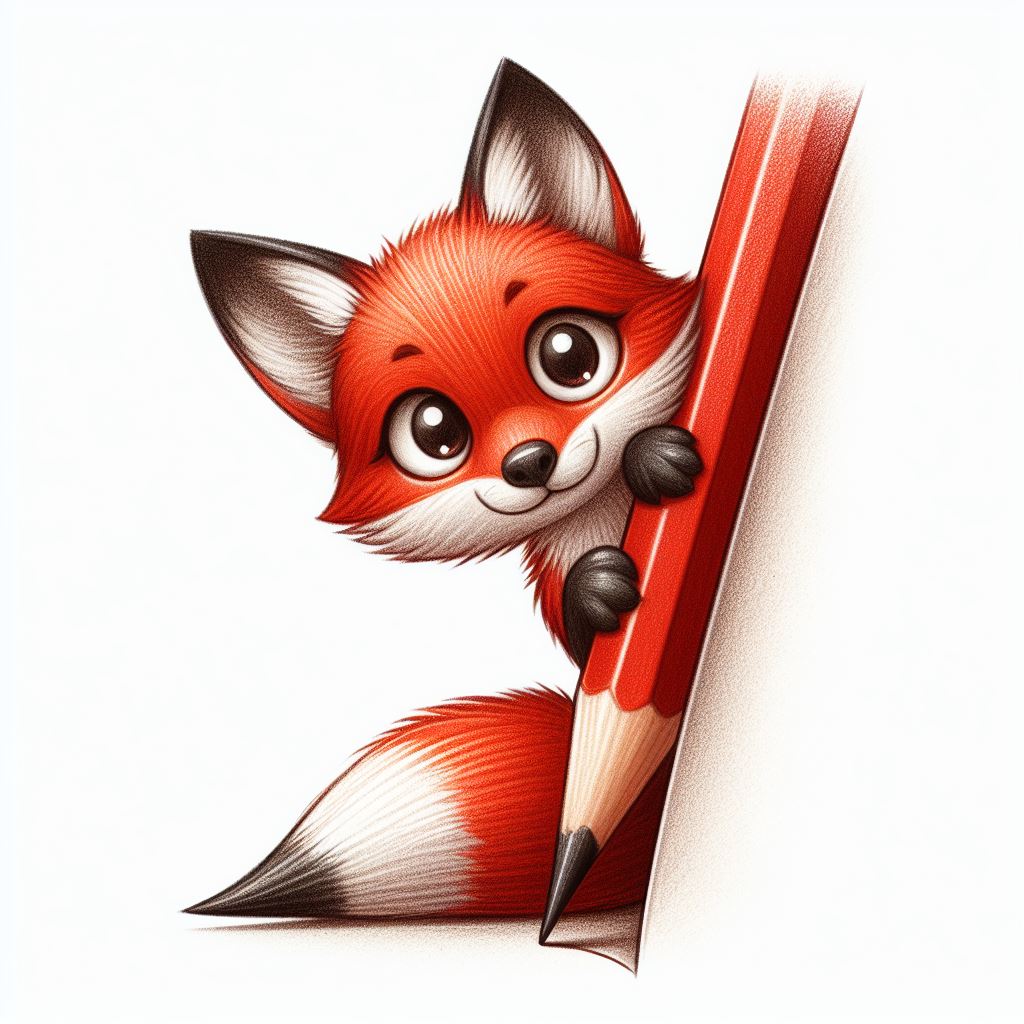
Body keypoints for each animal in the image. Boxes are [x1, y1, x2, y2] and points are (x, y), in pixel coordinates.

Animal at [187, 59, 701, 920]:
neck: (604, 515)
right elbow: (587, 640)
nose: (530, 462)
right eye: (435, 433)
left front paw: (654, 455)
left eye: (569, 355)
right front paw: (597, 590)